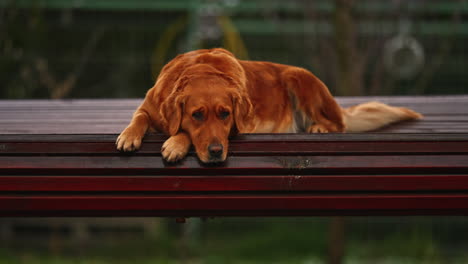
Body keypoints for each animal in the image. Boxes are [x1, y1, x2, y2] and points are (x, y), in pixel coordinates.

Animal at [116, 48, 420, 163]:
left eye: (225, 114)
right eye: (196, 115)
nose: (216, 152)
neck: (201, 69)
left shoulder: (237, 128)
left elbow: (185, 134)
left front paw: (176, 144)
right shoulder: (148, 106)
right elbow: (139, 118)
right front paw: (128, 136)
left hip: (300, 77)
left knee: (339, 125)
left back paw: (319, 127)